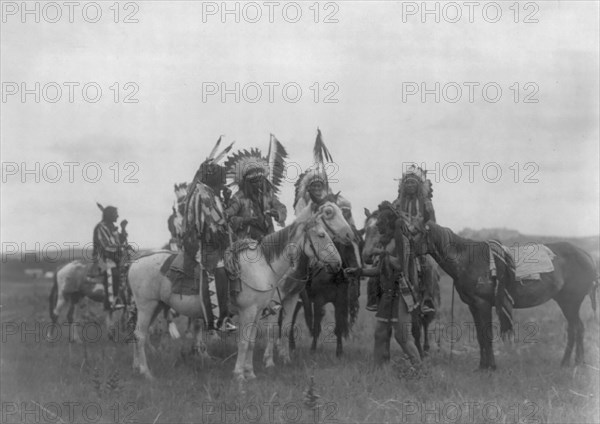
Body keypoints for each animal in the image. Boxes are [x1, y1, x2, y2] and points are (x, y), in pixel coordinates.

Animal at [126, 200, 352, 380]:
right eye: (321, 234)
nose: (338, 263)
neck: (262, 265)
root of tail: (136, 261)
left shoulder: (260, 310)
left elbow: (251, 342)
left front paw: (250, 373)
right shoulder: (249, 311)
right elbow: (244, 342)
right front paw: (239, 375)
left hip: (156, 306)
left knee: (139, 334)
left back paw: (137, 367)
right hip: (146, 306)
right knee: (140, 335)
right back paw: (146, 373)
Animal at [408, 220, 600, 370]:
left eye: (416, 232)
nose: (407, 255)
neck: (467, 260)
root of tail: (586, 254)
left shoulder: (482, 304)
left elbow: (487, 335)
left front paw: (490, 367)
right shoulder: (473, 306)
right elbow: (480, 336)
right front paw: (482, 366)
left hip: (571, 302)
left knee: (578, 328)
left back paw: (577, 363)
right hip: (565, 302)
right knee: (574, 328)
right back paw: (566, 363)